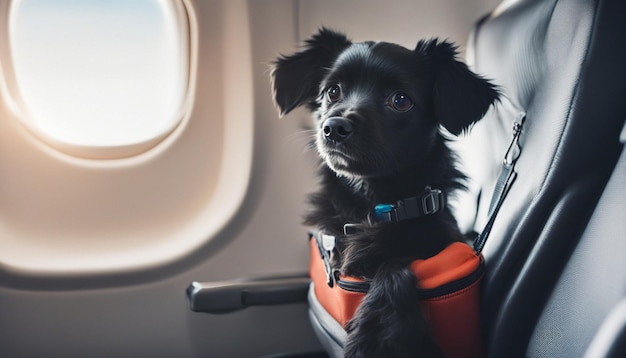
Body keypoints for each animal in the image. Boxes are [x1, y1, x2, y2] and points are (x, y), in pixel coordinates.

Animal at [270, 28, 494, 358]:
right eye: (332, 92)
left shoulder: (440, 240)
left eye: (400, 100)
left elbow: (394, 262)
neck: (375, 204)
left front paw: (378, 335)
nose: (334, 127)